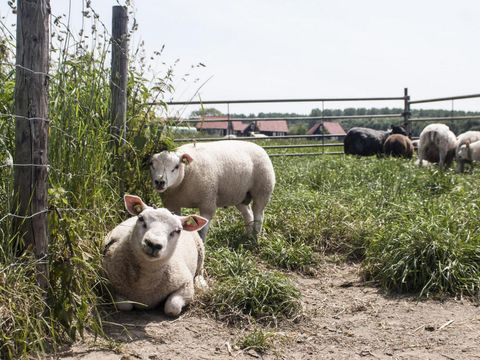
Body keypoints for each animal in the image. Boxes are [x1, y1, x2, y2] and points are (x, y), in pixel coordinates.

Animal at [150, 140, 278, 239]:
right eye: (151, 165)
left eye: (176, 166)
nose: (160, 182)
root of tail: (258, 146)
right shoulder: (172, 205)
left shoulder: (207, 202)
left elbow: (202, 231)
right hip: (240, 196)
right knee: (248, 214)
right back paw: (248, 235)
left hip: (263, 190)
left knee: (258, 214)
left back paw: (256, 236)